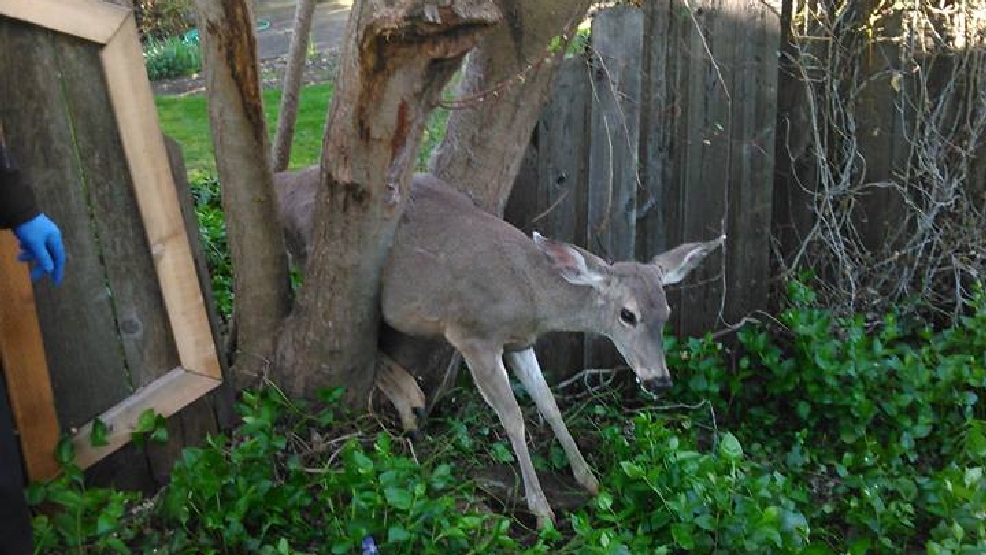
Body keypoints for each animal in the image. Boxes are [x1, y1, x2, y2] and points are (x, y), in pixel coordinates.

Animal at [274, 169, 724, 528]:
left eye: (666, 311)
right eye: (627, 315)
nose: (659, 380)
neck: (531, 297)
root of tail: (283, 181)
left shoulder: (519, 342)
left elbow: (548, 403)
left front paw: (590, 481)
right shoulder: (474, 336)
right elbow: (513, 417)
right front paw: (542, 512)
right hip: (327, 266)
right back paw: (410, 400)